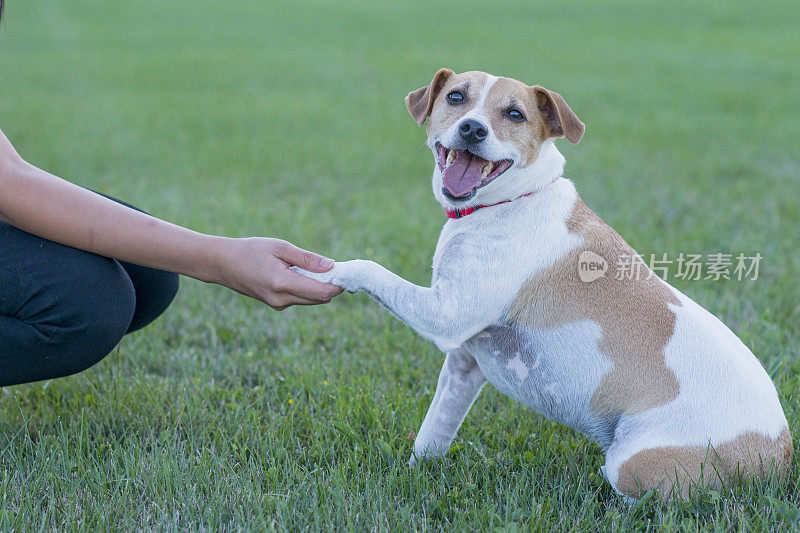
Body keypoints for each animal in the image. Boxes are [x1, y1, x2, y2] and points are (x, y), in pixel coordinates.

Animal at [296, 68, 792, 496]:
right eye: (456, 97)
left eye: (515, 114)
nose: (472, 129)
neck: (509, 202)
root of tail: (779, 458)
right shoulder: (463, 364)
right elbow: (433, 432)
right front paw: (417, 474)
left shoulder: (445, 315)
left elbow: (367, 267)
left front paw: (317, 269)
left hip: (634, 463)